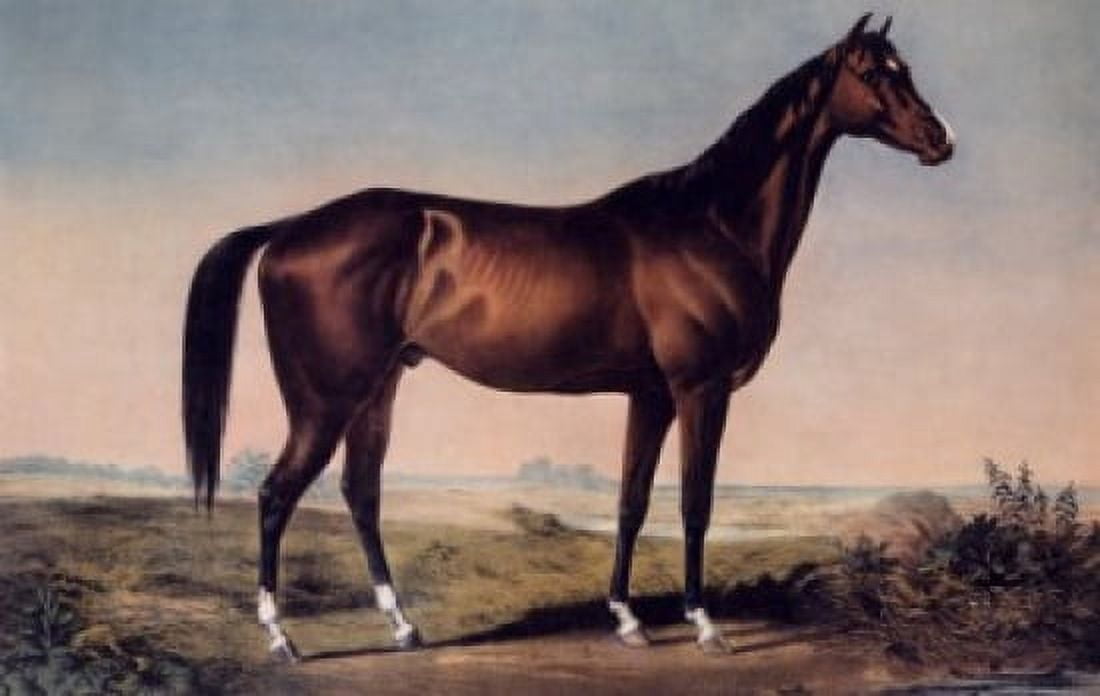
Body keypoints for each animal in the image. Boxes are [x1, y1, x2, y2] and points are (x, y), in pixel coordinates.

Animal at [182, 13, 953, 661]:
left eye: (904, 66)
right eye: (875, 72)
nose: (940, 141)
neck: (708, 223)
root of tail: (289, 229)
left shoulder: (651, 395)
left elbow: (631, 503)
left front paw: (629, 619)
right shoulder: (699, 390)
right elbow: (695, 504)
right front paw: (705, 626)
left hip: (378, 390)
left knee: (360, 494)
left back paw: (404, 627)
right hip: (324, 401)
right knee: (276, 494)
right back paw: (281, 638)